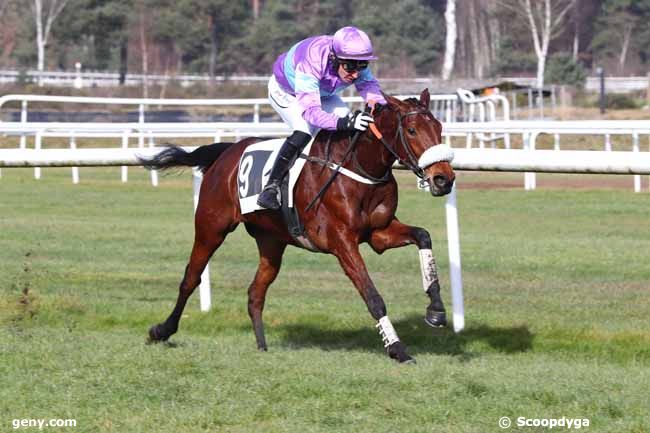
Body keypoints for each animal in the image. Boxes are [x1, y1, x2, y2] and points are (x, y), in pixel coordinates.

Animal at [142, 89, 456, 362]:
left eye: (439, 127)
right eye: (412, 130)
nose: (444, 179)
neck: (358, 168)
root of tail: (227, 152)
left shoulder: (379, 233)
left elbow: (423, 236)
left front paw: (436, 310)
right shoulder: (341, 241)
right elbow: (373, 296)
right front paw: (398, 349)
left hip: (271, 242)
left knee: (255, 293)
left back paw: (262, 347)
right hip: (211, 228)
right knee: (191, 278)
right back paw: (161, 330)